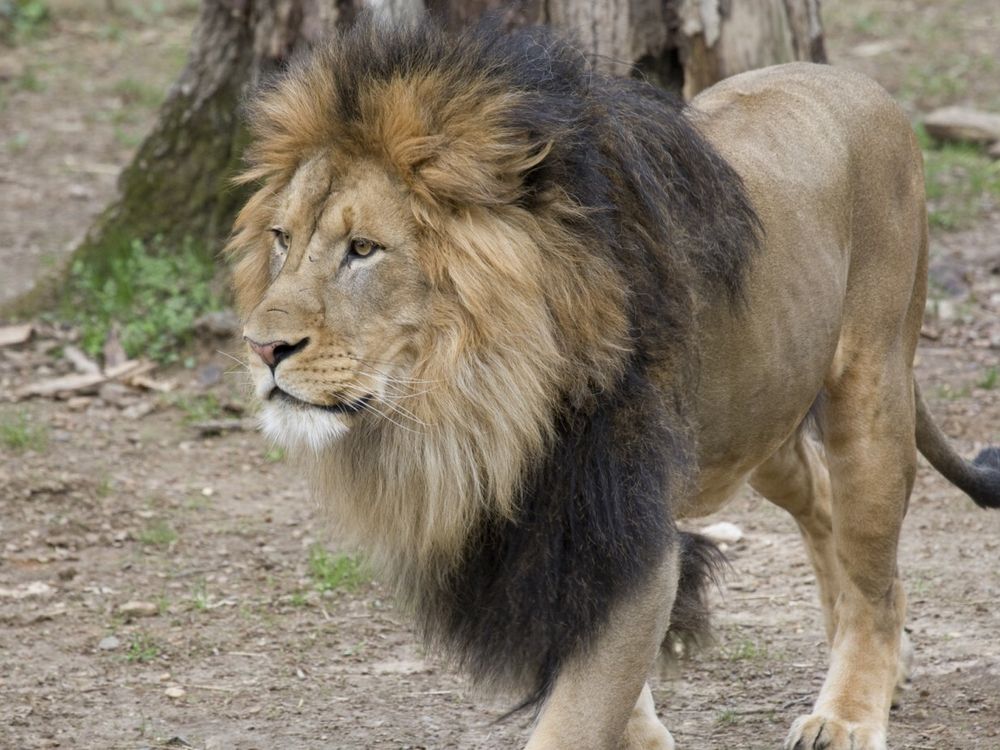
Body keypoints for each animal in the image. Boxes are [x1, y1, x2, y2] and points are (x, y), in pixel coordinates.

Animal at [227, 17, 1000, 750]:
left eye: (363, 250)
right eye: (282, 240)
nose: (262, 347)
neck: (474, 404)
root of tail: (861, 86)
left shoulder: (621, 526)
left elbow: (576, 714)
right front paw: (646, 736)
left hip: (870, 393)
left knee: (872, 573)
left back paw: (848, 711)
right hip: (756, 417)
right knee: (819, 501)